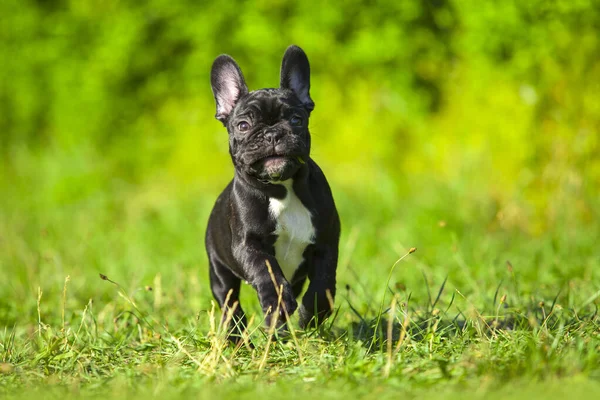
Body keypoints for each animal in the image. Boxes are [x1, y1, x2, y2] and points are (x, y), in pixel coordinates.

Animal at [205, 47, 340, 340]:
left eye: (296, 120)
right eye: (243, 125)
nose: (272, 134)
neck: (282, 189)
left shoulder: (326, 243)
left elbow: (323, 286)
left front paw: (310, 316)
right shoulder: (249, 246)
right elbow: (268, 275)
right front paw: (279, 303)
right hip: (219, 271)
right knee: (230, 304)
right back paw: (237, 339)